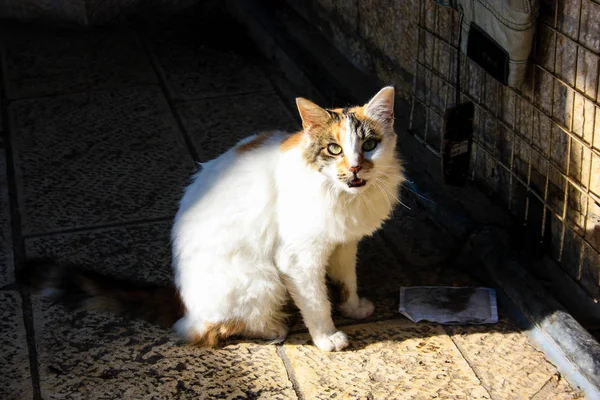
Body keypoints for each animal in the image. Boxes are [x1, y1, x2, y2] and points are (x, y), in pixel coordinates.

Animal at [30, 86, 406, 352]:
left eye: (369, 145)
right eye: (334, 149)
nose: (355, 169)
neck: (341, 195)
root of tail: (184, 304)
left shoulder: (344, 243)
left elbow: (346, 282)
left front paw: (354, 309)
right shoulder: (298, 259)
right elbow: (316, 302)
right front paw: (327, 338)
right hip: (263, 280)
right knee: (212, 330)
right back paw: (274, 327)